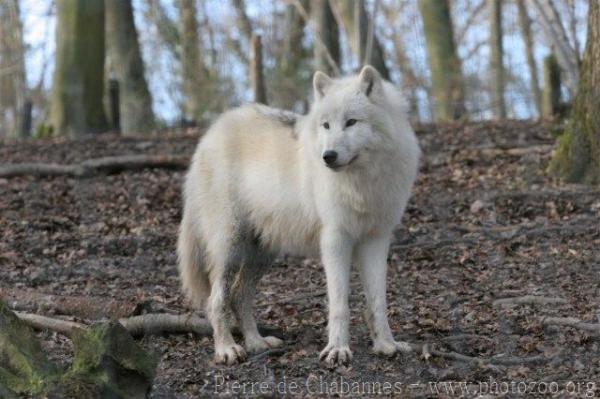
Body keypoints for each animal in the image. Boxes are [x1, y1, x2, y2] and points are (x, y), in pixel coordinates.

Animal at [178, 65, 420, 366]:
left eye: (351, 122)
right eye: (326, 125)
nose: (328, 156)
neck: (362, 181)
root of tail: (209, 135)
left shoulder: (376, 239)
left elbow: (378, 301)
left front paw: (387, 344)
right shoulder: (335, 239)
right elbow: (339, 304)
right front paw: (338, 350)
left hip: (262, 253)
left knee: (239, 296)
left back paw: (256, 343)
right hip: (230, 247)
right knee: (216, 300)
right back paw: (226, 349)